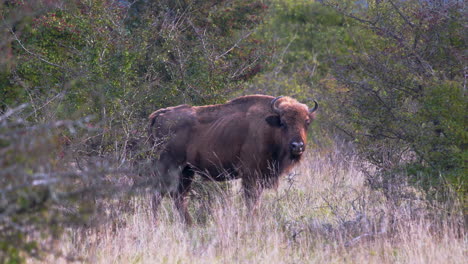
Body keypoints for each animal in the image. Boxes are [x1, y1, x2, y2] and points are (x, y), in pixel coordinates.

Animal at [149, 94, 318, 224]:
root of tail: (162, 113)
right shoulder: (251, 175)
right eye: (283, 123)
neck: (269, 127)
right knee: (158, 194)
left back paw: (189, 224)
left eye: (307, 122)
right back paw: (156, 224)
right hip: (168, 167)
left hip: (186, 171)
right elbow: (251, 201)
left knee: (179, 197)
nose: (297, 146)